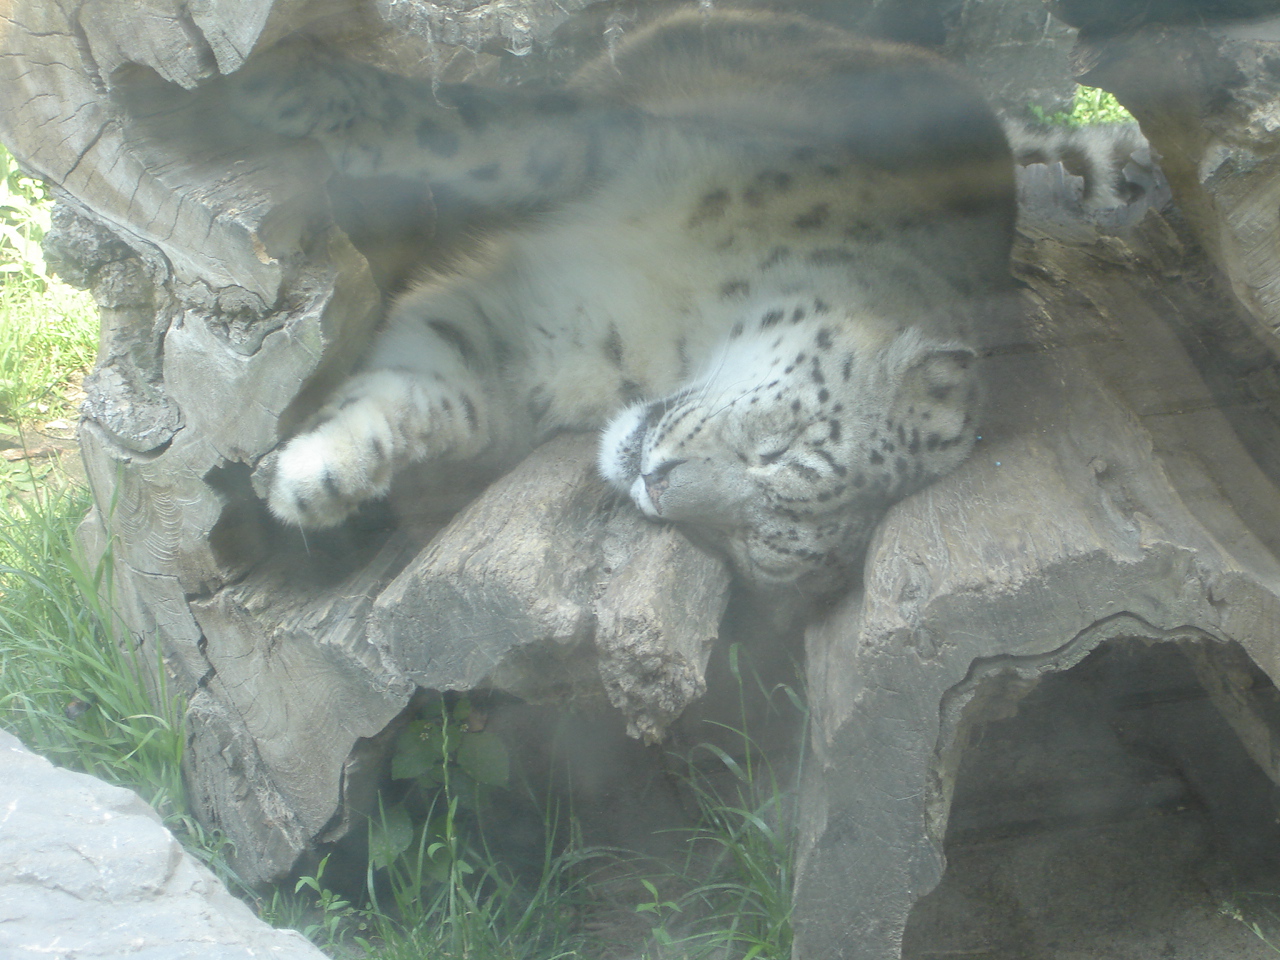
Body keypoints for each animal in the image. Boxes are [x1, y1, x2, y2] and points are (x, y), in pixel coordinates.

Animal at [232, 7, 1023, 603]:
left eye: (748, 541)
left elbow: (425, 395)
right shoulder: (610, 148)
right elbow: (469, 135)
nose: (656, 482)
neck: (678, 324)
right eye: (781, 450)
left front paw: (311, 482)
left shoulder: (521, 353)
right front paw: (277, 91)